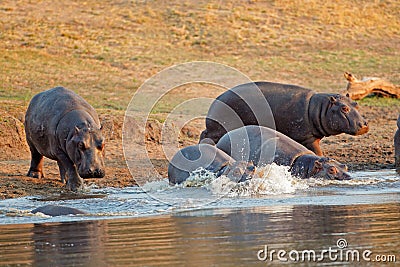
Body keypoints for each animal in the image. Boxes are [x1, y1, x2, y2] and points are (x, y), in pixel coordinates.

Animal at [200, 81, 368, 157]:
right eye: (344, 108)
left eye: (355, 103)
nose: (365, 124)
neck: (320, 107)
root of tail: (216, 100)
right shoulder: (308, 138)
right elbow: (317, 152)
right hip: (218, 130)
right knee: (205, 135)